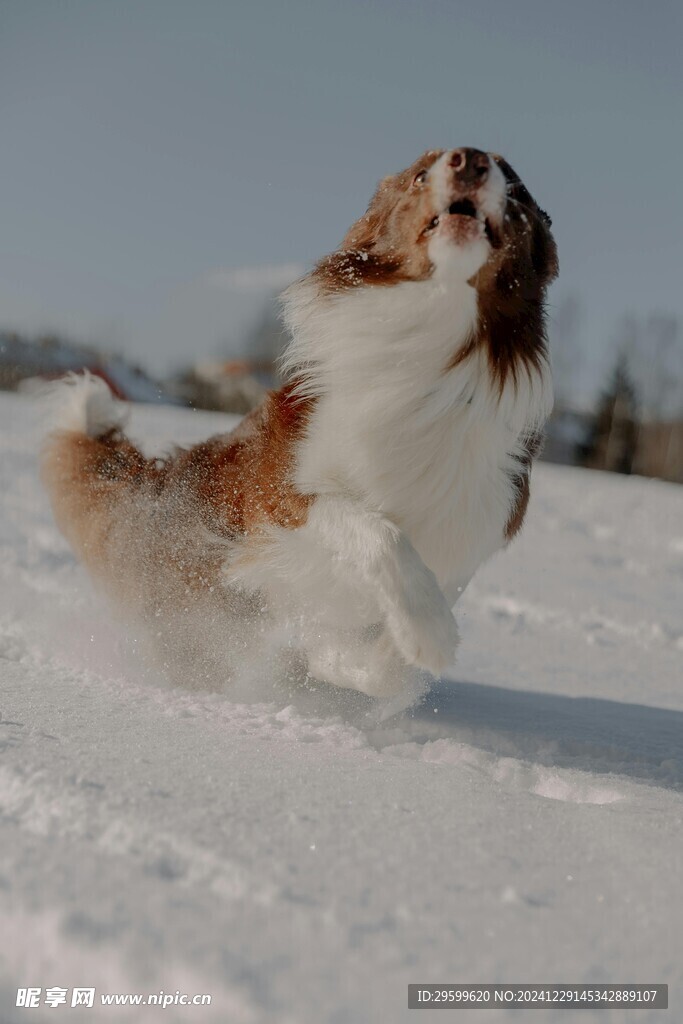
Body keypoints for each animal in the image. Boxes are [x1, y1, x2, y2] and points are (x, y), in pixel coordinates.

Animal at [41, 148, 557, 700]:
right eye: (422, 173)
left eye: (515, 186)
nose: (470, 159)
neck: (437, 341)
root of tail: (156, 480)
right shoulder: (281, 494)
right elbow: (380, 534)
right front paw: (429, 634)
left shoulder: (471, 526)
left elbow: (389, 664)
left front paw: (359, 661)